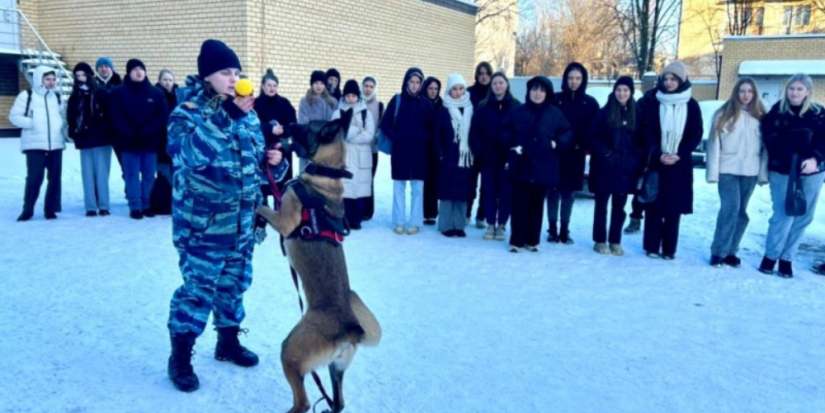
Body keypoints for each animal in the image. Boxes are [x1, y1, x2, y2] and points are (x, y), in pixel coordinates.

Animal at [256, 109, 382, 412]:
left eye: (307, 125)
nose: (286, 123)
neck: (327, 171)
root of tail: (351, 329)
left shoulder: (285, 221)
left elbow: (263, 205)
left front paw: (254, 205)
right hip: (336, 368)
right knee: (339, 402)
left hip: (290, 353)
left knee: (301, 402)